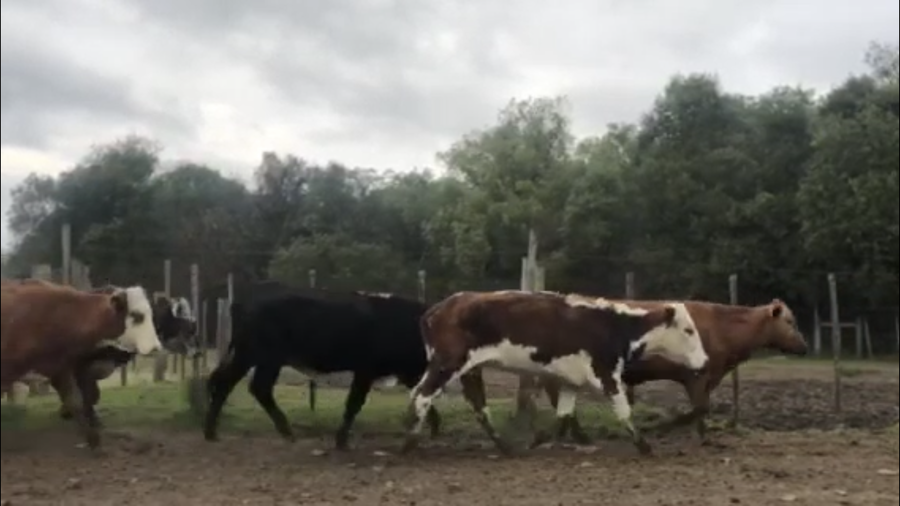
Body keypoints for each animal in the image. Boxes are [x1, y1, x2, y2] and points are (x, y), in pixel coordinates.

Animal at [202, 284, 442, 449]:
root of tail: (243, 303)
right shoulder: (366, 370)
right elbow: (354, 403)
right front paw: (341, 440)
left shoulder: (406, 372)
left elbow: (423, 394)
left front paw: (435, 427)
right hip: (258, 357)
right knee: (242, 385)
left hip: (258, 359)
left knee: (240, 384)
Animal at [401, 290, 708, 455]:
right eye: (688, 330)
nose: (704, 361)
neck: (613, 325)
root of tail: (436, 309)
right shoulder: (606, 374)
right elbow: (623, 410)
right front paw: (644, 446)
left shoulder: (572, 380)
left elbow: (563, 414)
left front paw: (540, 440)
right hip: (447, 364)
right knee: (422, 396)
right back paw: (409, 442)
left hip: (470, 369)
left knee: (477, 406)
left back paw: (505, 447)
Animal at [534, 298, 808, 445]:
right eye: (790, 321)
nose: (805, 347)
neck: (722, 328)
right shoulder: (695, 376)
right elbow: (700, 408)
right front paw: (661, 428)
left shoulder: (706, 378)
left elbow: (701, 409)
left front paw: (704, 438)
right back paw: (578, 436)